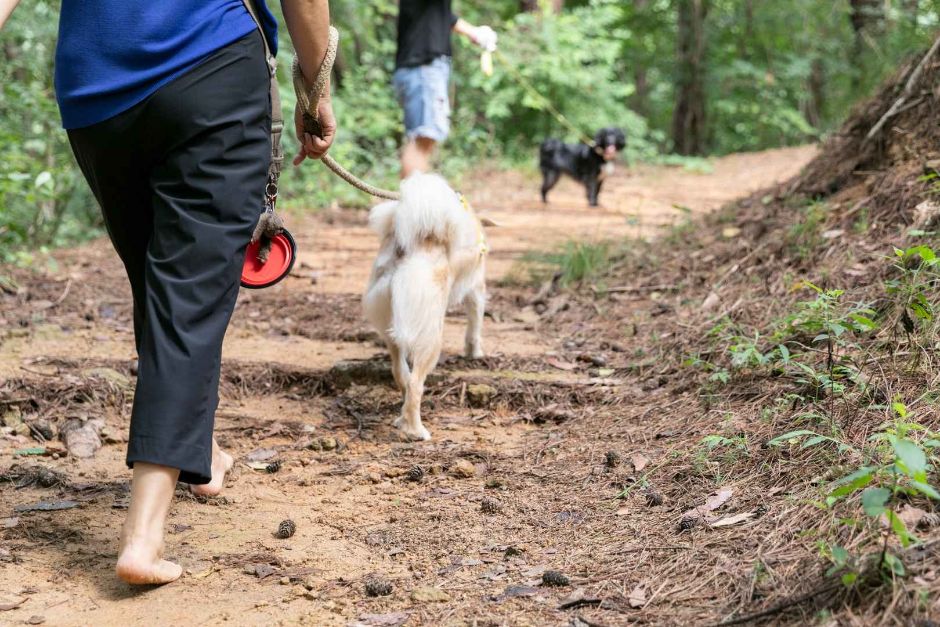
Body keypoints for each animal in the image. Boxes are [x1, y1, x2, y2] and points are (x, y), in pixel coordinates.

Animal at [362, 173, 492, 442]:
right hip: (431, 337)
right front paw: (475, 353)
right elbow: (474, 327)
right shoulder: (476, 289)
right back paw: (415, 430)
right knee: (415, 384)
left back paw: (401, 417)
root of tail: (405, 249)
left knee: (400, 373)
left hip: (391, 321)